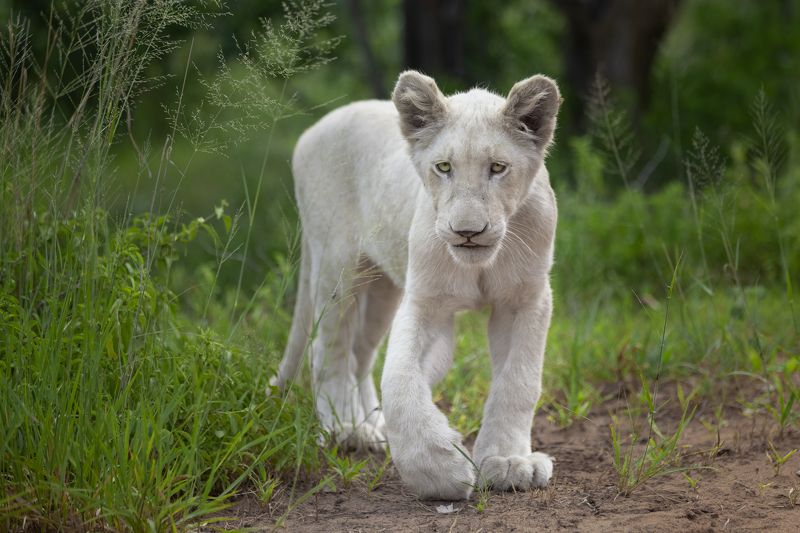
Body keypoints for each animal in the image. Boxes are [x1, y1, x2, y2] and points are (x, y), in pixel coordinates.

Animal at [272, 70, 560, 500]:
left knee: (360, 355)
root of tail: (314, 128)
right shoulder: (427, 303)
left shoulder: (525, 300)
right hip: (336, 266)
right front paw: (439, 469)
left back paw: (371, 425)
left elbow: (519, 381)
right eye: (443, 167)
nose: (468, 231)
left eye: (497, 167)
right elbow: (400, 379)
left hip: (381, 287)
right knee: (329, 350)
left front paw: (508, 462)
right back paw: (346, 430)